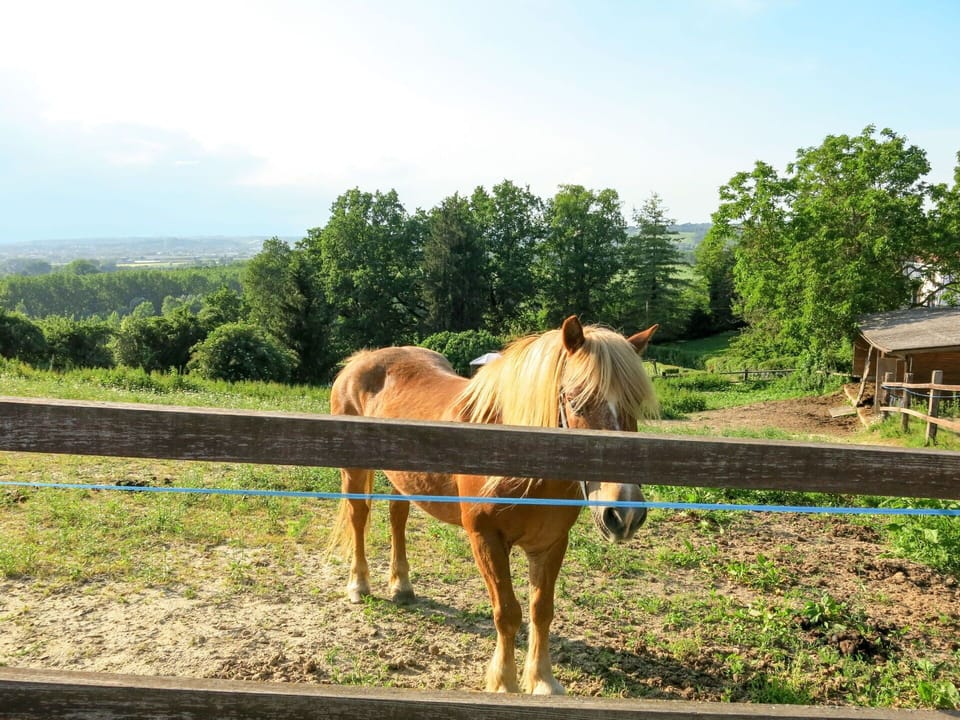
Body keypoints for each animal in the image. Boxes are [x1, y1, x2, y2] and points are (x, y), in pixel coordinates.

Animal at [328, 315, 658, 695]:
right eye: (576, 401)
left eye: (635, 405)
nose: (624, 513)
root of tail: (361, 360)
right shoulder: (486, 539)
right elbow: (507, 613)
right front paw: (504, 682)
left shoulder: (550, 543)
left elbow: (541, 610)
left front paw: (543, 681)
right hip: (354, 471)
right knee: (359, 519)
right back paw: (358, 585)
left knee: (398, 518)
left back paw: (402, 587)